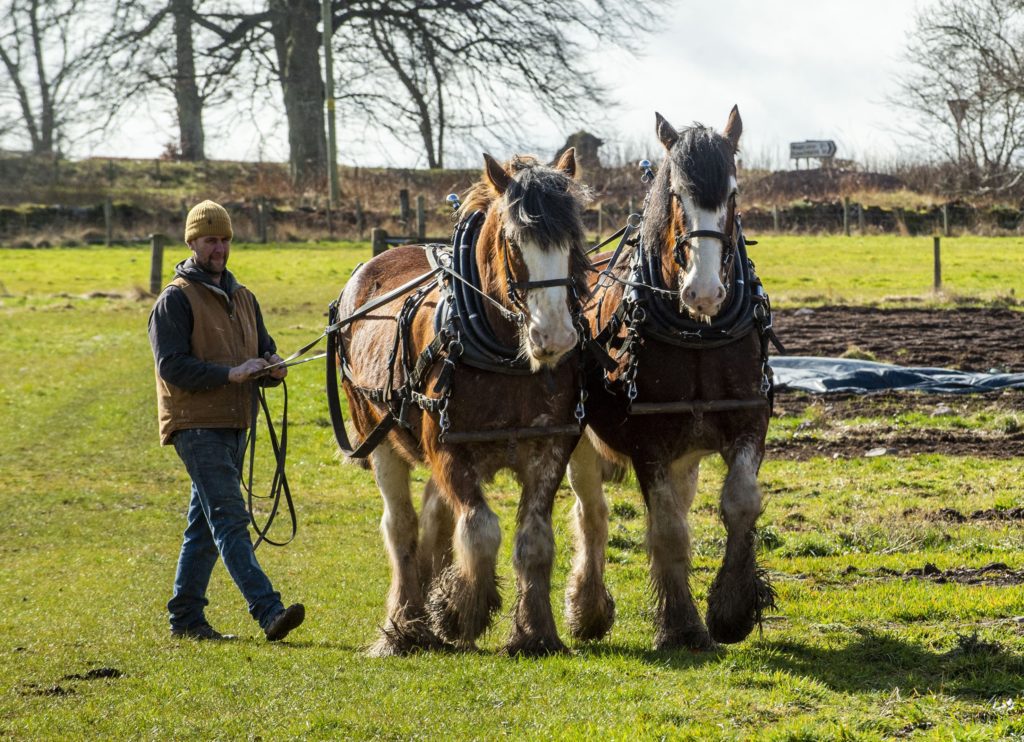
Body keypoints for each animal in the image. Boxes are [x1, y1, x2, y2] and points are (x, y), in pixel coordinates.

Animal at [335, 149, 593, 655]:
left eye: (574, 239)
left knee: (434, 515)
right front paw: (460, 611)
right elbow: (480, 529)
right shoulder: (449, 450)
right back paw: (406, 623)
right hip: (379, 438)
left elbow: (534, 539)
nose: (555, 337)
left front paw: (535, 632)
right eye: (514, 242)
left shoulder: (551, 447)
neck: (503, 354)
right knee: (401, 526)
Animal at [565, 106, 770, 650]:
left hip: (687, 454)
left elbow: (740, 504)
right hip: (581, 442)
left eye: (732, 192)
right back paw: (588, 608)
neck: (698, 331)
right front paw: (681, 623)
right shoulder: (647, 441)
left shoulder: (748, 420)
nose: (704, 291)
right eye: (677, 194)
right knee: (593, 515)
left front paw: (732, 608)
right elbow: (667, 529)